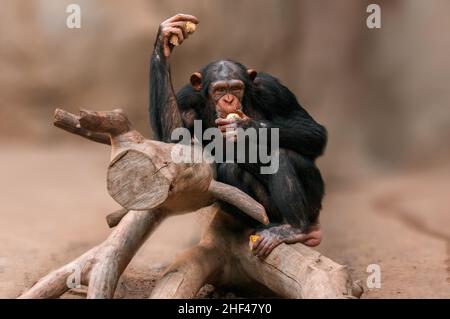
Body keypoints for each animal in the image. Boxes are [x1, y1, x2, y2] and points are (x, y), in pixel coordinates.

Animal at [149, 14, 326, 260]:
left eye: (236, 88)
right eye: (219, 90)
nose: (229, 100)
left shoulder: (273, 90)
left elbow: (313, 130)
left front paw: (245, 126)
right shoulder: (186, 100)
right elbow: (175, 142)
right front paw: (164, 42)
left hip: (315, 203)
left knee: (282, 154)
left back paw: (295, 228)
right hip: (267, 212)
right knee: (229, 170)